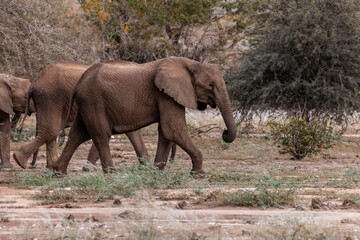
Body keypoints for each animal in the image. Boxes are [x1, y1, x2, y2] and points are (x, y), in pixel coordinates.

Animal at [13, 62, 176, 170]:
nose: (172, 161)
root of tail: (34, 83)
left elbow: (132, 132)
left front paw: (146, 165)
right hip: (51, 98)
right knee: (51, 131)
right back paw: (22, 161)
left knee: (50, 132)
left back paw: (45, 165)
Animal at [50, 57, 236, 174]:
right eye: (211, 85)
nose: (225, 132)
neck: (191, 64)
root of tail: (80, 82)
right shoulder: (165, 94)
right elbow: (173, 129)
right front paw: (198, 173)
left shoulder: (166, 94)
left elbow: (166, 131)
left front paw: (157, 171)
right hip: (93, 101)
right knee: (101, 135)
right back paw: (112, 173)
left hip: (87, 103)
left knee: (78, 134)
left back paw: (59, 172)